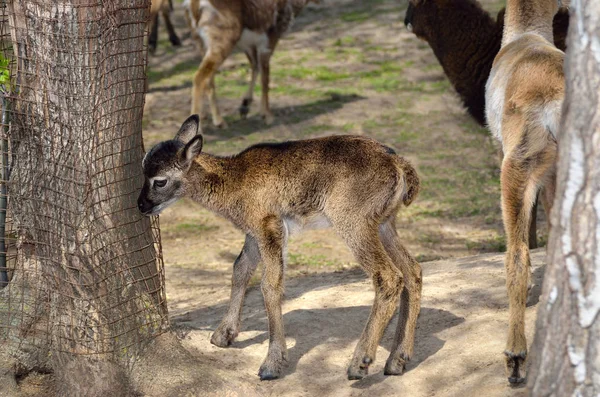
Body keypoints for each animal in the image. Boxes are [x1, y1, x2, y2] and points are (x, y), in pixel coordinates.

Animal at [139, 115, 424, 380]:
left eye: (160, 181)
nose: (141, 205)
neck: (233, 182)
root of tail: (400, 165)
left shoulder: (269, 224)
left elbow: (270, 284)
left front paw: (271, 364)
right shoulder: (253, 231)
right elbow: (240, 269)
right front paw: (223, 335)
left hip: (353, 220)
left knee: (389, 276)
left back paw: (360, 363)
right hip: (384, 222)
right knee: (412, 270)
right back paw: (397, 360)